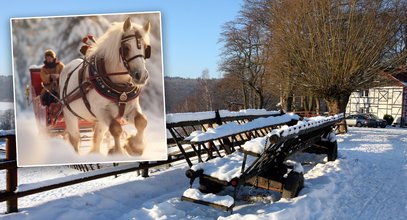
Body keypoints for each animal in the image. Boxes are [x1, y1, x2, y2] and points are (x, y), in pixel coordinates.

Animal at [59, 17, 151, 156]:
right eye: (126, 47)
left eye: (145, 48)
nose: (141, 75)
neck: (121, 89)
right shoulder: (101, 110)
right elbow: (115, 129)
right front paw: (118, 152)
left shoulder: (130, 108)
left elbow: (142, 121)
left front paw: (135, 146)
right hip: (70, 116)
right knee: (75, 139)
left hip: (99, 121)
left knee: (97, 138)